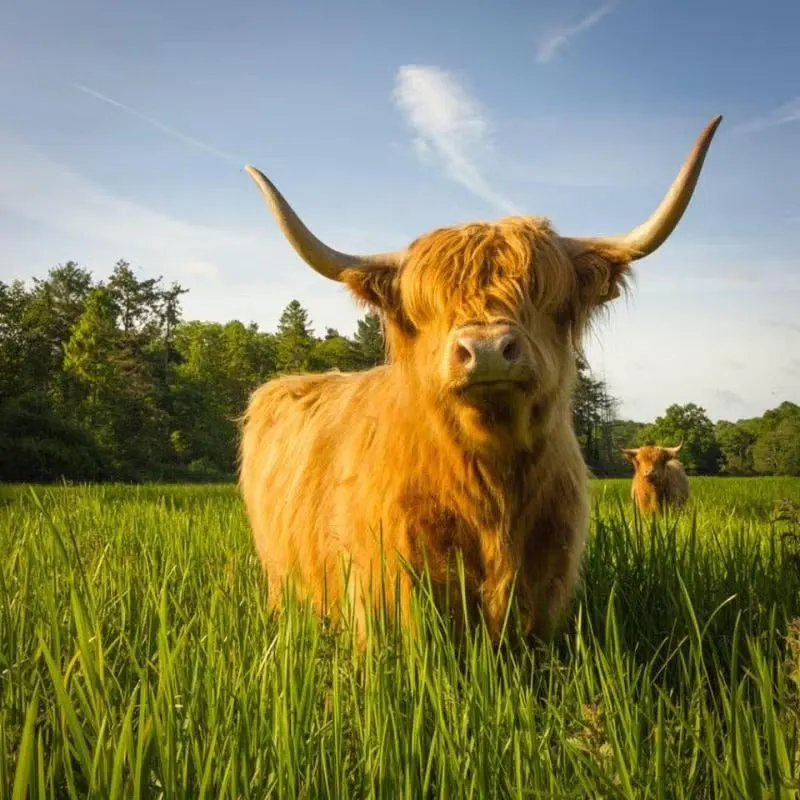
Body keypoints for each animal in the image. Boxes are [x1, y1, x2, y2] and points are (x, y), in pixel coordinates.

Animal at [238, 116, 721, 645]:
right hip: (279, 578)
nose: (487, 350)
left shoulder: (546, 588)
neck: (494, 485)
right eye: (427, 304)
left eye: (541, 292)